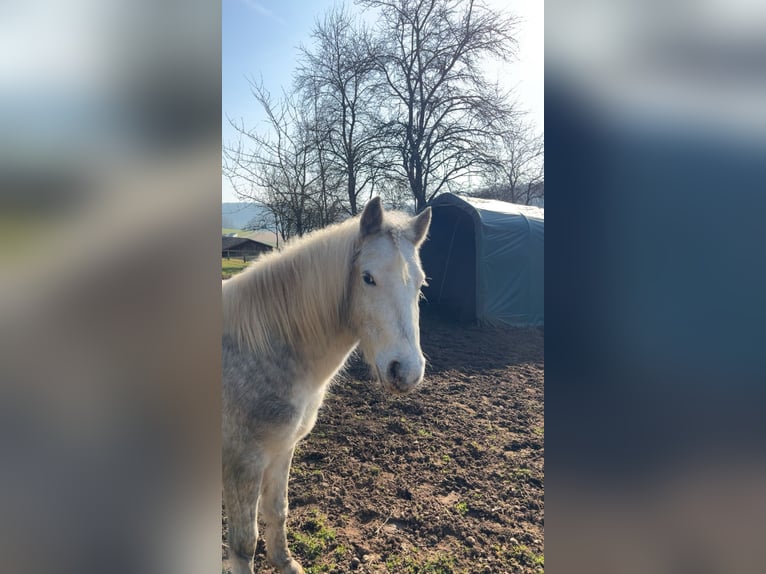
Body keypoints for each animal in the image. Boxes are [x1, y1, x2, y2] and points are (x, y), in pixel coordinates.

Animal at [222, 197, 432, 574]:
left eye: (420, 285)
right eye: (368, 278)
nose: (406, 371)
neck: (262, 348)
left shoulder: (282, 450)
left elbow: (277, 510)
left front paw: (286, 563)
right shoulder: (242, 462)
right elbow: (244, 544)